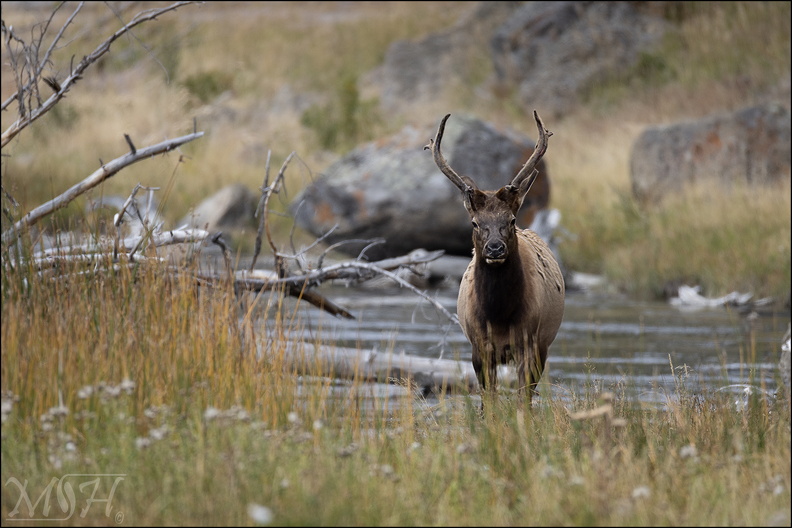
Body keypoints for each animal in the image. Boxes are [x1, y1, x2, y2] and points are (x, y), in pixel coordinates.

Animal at [425, 110, 565, 406]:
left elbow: (523, 401)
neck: (499, 316)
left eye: (510, 219)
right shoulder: (479, 347)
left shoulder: (529, 344)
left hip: (543, 344)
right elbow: (487, 402)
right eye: (475, 223)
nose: (495, 249)